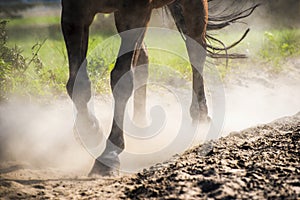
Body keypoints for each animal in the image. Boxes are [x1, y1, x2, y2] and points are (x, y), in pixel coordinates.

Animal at [61, 0, 258, 175]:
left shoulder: (135, 12)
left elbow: (121, 80)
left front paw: (109, 155)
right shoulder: (74, 12)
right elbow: (77, 82)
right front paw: (89, 130)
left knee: (196, 51)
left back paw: (200, 114)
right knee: (144, 58)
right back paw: (140, 124)